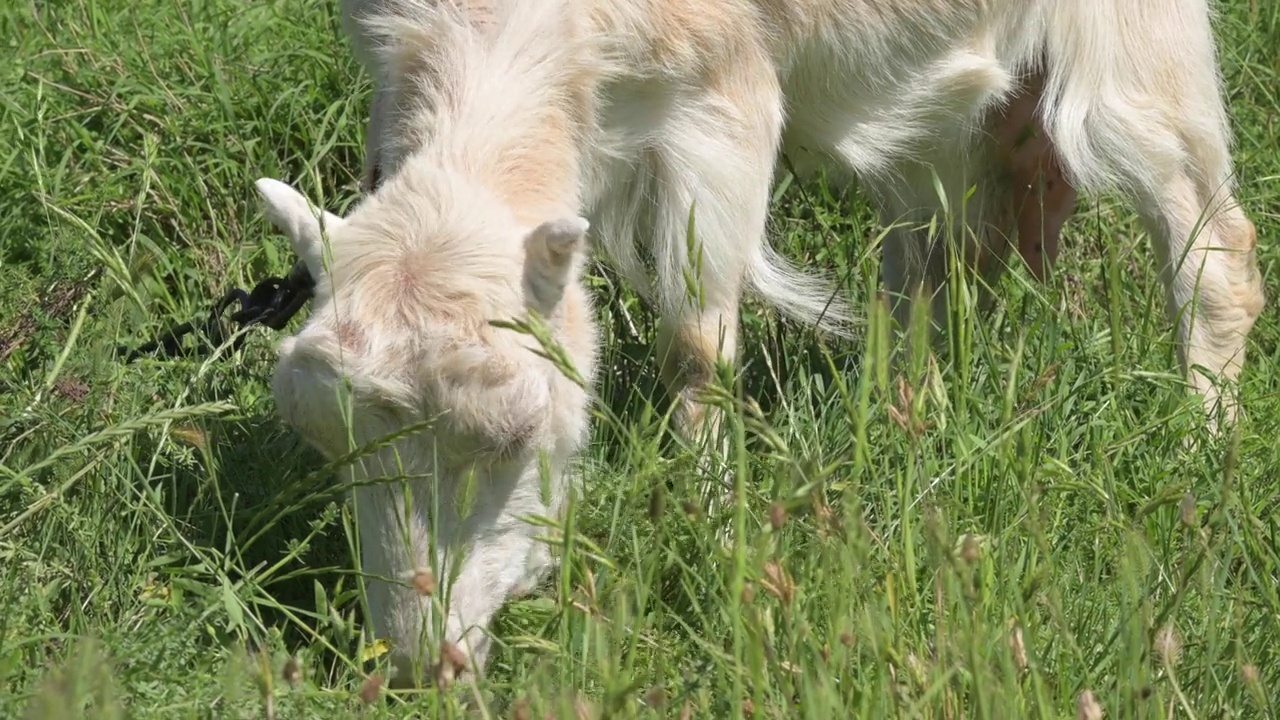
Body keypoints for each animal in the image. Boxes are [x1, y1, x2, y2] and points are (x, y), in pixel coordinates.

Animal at [254, 0, 1264, 681]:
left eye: (515, 438)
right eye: (328, 444)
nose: (426, 664)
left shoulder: (722, 98)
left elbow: (696, 342)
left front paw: (708, 516)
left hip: (1138, 44)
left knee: (1212, 248)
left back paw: (1201, 451)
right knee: (972, 240)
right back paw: (920, 412)